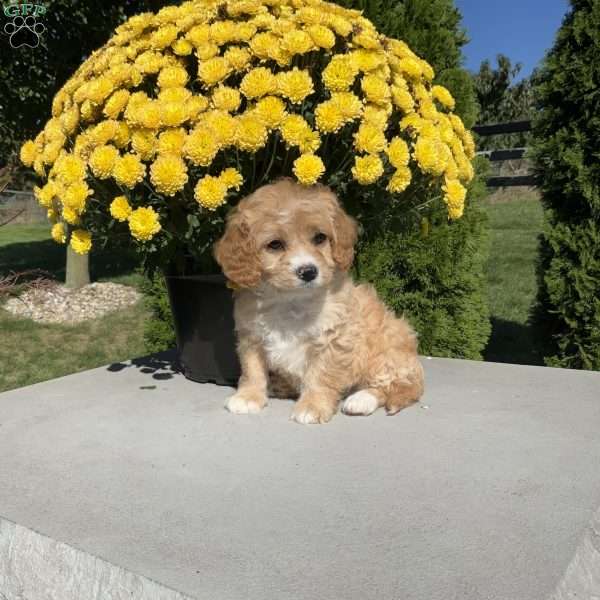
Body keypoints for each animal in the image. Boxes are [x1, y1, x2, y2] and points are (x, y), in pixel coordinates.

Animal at [213, 176, 424, 424]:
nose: (308, 271)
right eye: (275, 244)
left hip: (386, 351)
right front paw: (248, 396)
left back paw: (361, 400)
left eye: (320, 238)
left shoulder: (334, 339)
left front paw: (312, 406)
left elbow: (321, 376)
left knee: (396, 386)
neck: (291, 300)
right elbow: (252, 370)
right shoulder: (251, 336)